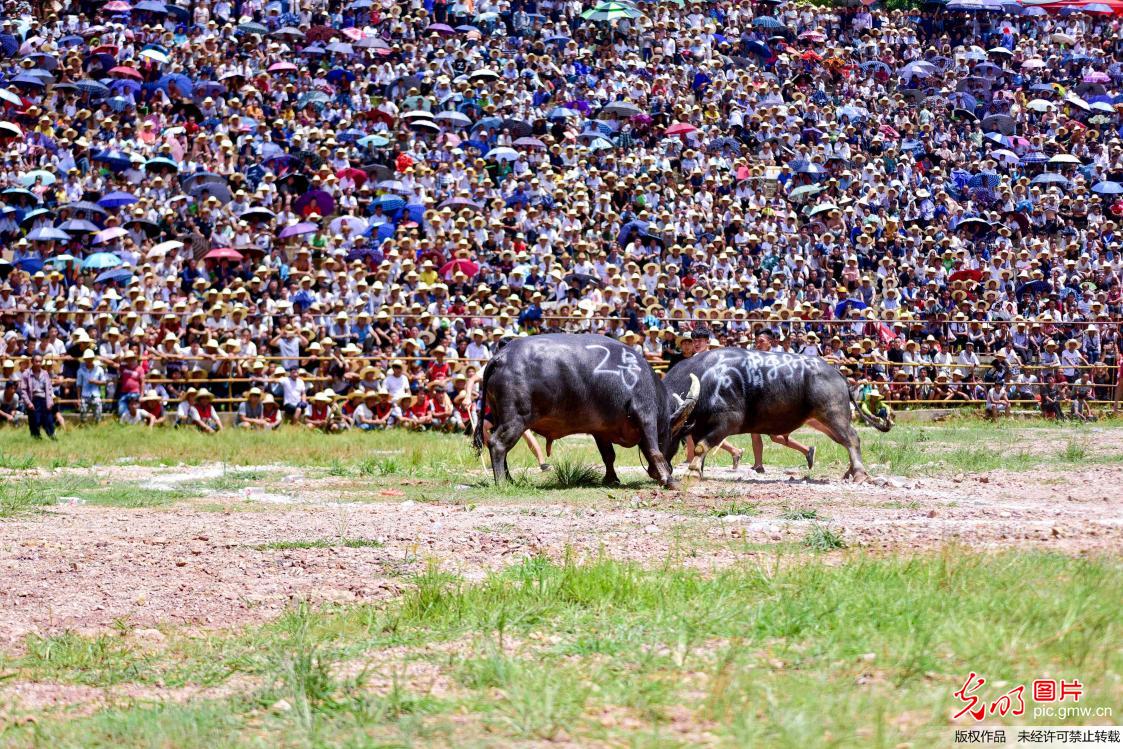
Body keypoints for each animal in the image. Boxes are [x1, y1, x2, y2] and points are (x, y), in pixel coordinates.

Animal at [473, 334, 700, 487]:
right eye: (674, 435)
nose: (671, 467)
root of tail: (501, 357)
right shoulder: (646, 416)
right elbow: (653, 449)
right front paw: (669, 479)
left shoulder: (601, 430)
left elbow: (608, 455)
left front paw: (612, 479)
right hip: (515, 419)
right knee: (497, 444)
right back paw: (502, 482)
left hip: (499, 416)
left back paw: (510, 479)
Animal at [660, 348, 889, 480]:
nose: (662, 466)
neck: (709, 378)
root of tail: (837, 373)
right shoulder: (700, 428)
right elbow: (701, 448)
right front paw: (698, 470)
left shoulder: (727, 422)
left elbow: (700, 447)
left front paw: (692, 472)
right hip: (823, 421)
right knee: (845, 440)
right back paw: (849, 471)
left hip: (834, 414)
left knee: (852, 438)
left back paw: (859, 474)